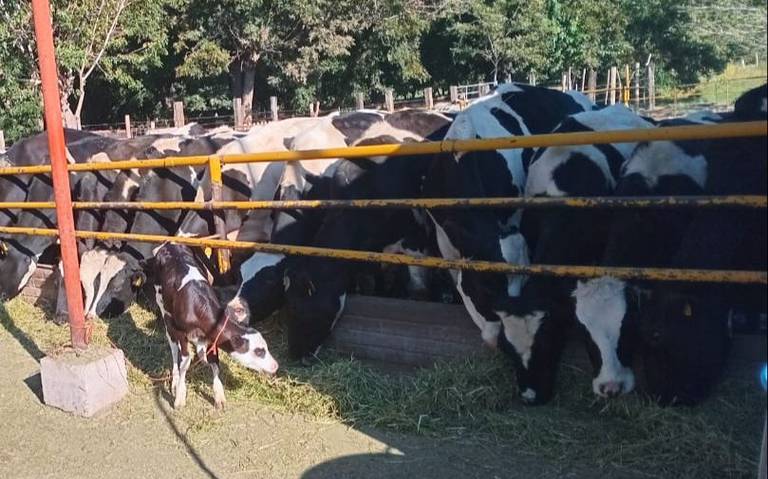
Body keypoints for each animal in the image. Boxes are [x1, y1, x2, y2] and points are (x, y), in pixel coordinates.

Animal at [148, 242, 278, 410]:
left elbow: (215, 362)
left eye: (265, 347)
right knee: (173, 346)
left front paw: (219, 395)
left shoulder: (213, 336)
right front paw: (180, 396)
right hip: (164, 308)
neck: (199, 307)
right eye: (258, 351)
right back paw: (175, 380)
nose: (275, 366)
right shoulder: (182, 334)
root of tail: (169, 244)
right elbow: (185, 362)